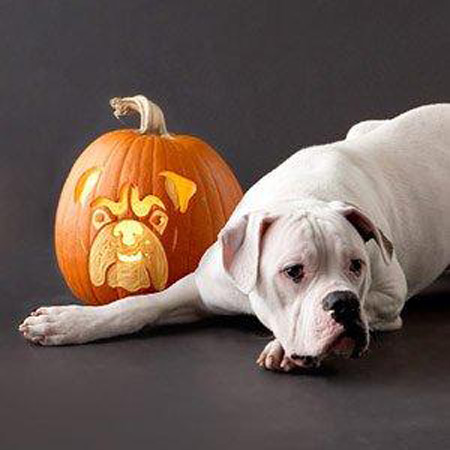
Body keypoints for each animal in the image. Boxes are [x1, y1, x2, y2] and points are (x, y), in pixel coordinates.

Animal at [19, 103, 450, 370]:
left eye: (356, 266)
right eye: (293, 271)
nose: (342, 303)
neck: (304, 195)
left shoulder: (389, 297)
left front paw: (283, 346)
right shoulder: (203, 285)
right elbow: (140, 305)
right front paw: (69, 322)